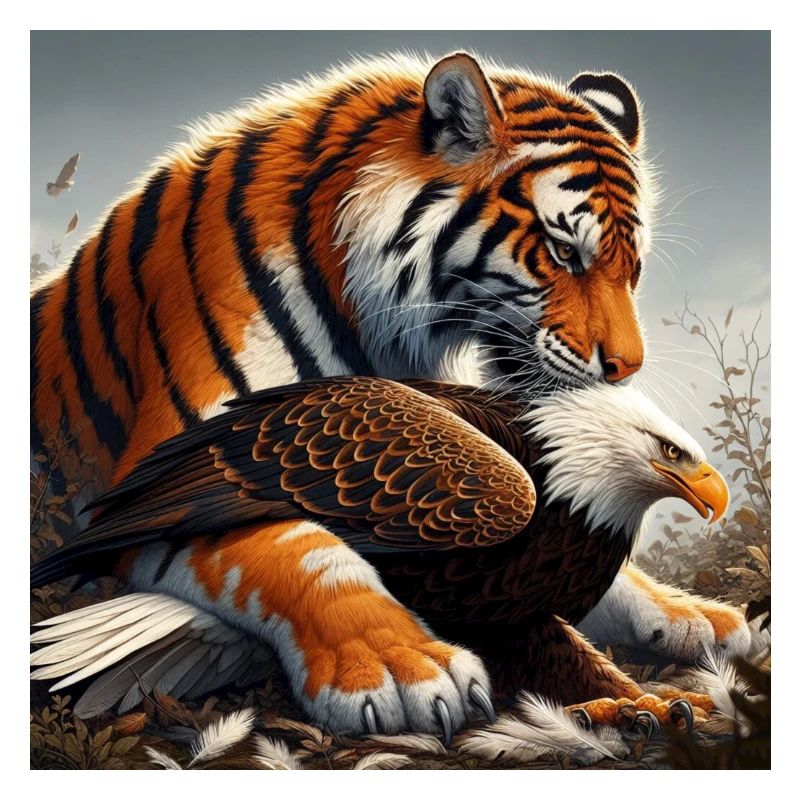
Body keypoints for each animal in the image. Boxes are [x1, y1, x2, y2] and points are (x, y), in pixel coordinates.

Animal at [30, 52, 749, 735]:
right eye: (565, 251)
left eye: (634, 266)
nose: (625, 368)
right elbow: (302, 552)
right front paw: (396, 664)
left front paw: (684, 622)